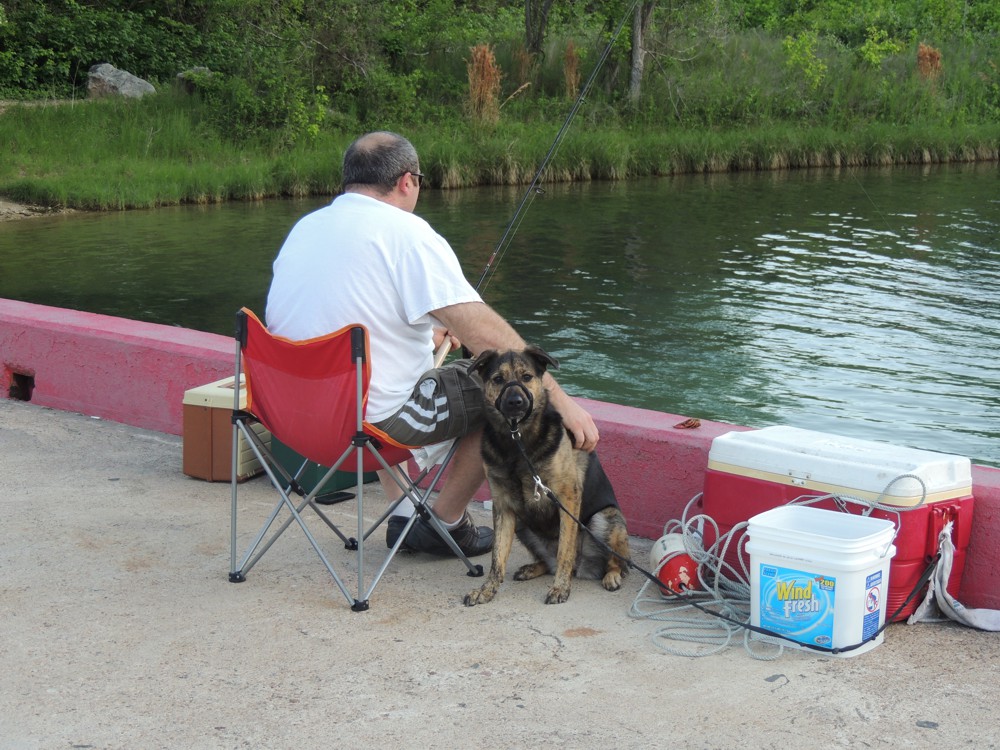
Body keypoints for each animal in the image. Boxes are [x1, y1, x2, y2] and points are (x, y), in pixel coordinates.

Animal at [460, 350, 624, 608]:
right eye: (498, 379)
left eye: (527, 377)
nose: (515, 402)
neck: (516, 441)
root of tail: (582, 568)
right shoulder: (503, 506)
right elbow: (497, 559)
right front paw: (487, 590)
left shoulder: (568, 498)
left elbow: (565, 550)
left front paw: (561, 588)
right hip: (522, 523)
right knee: (548, 562)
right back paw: (533, 568)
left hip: (605, 518)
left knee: (614, 562)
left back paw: (612, 575)